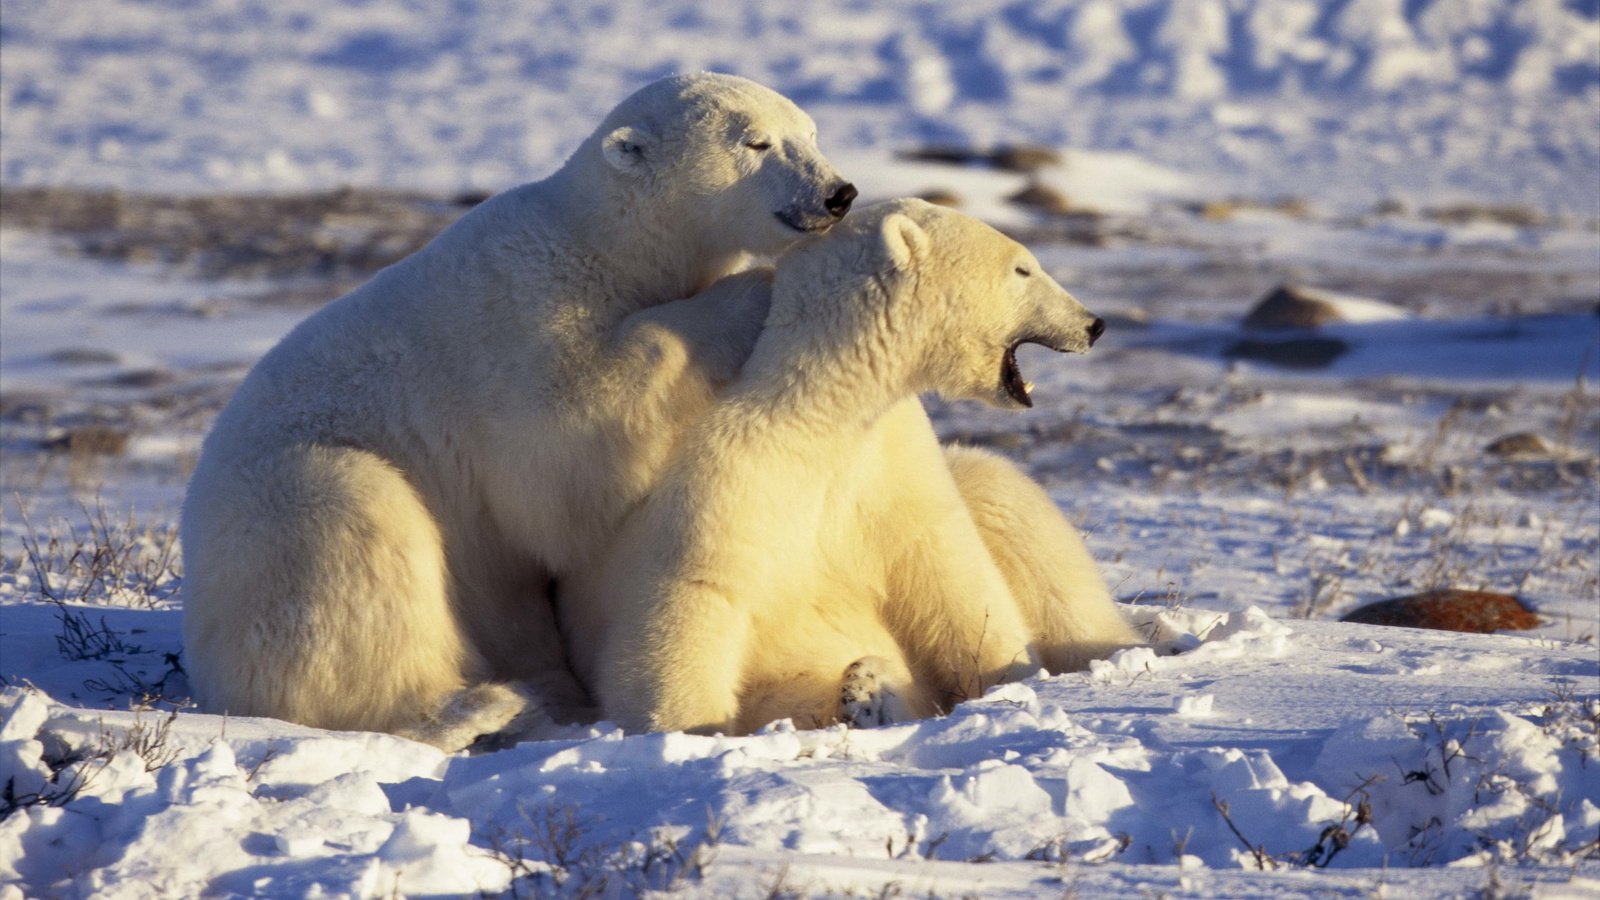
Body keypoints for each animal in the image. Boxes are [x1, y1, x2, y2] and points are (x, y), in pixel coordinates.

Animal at [563, 199, 1139, 733]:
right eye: (1022, 268)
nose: (1094, 324)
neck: (820, 414)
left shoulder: (893, 467)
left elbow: (952, 577)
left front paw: (1008, 680)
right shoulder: (727, 481)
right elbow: (691, 599)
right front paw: (691, 727)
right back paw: (866, 693)